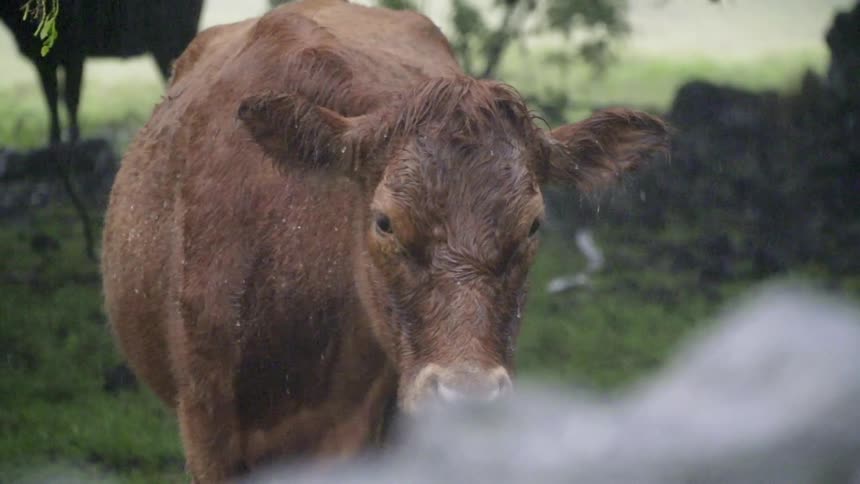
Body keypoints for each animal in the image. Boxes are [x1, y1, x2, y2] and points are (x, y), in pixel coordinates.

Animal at [0, 0, 203, 144]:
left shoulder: (75, 53)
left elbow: (71, 98)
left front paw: (74, 138)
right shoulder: (42, 60)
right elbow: (51, 98)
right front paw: (54, 139)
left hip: (171, 39)